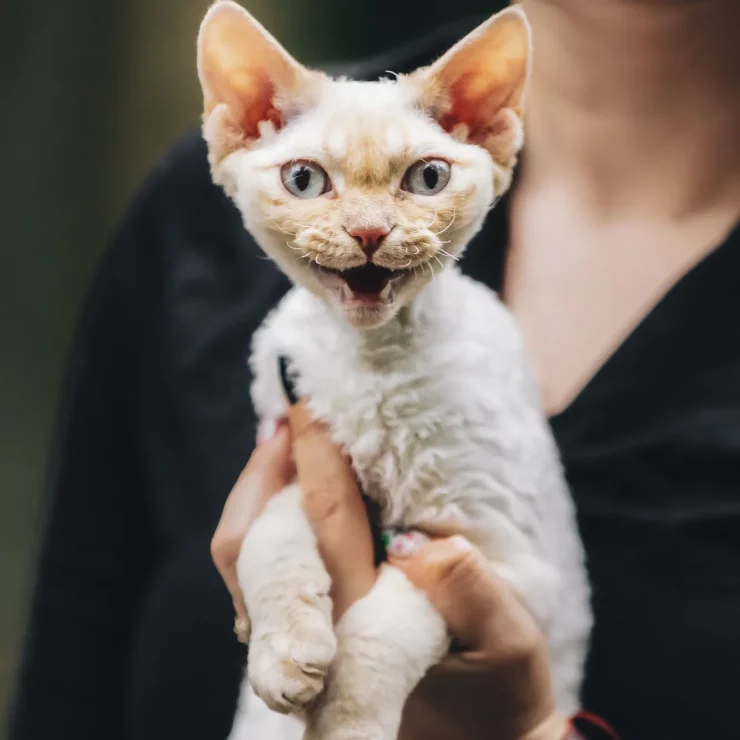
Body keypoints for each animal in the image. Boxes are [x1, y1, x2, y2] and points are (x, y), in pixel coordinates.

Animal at [195, 2, 588, 736]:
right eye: (304, 179)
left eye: (427, 178)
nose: (371, 233)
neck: (372, 363)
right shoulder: (289, 453)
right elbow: (272, 533)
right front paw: (286, 651)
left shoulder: (502, 559)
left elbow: (382, 629)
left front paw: (345, 719)